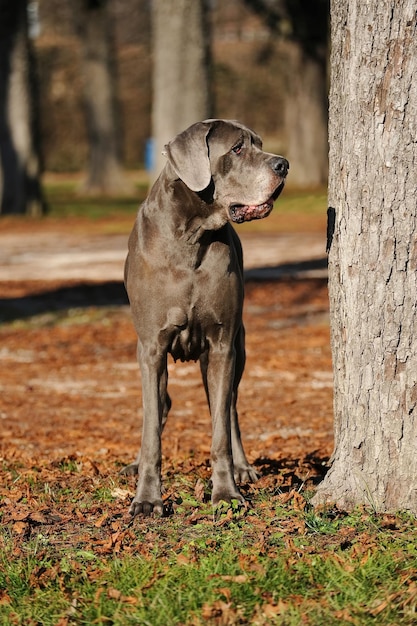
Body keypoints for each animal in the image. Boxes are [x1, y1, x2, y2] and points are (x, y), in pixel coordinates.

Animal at [122, 119, 288, 516]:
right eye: (238, 148)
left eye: (259, 143)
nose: (284, 165)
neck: (191, 236)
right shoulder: (150, 347)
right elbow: (151, 430)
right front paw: (147, 499)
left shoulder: (222, 343)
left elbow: (220, 431)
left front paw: (226, 493)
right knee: (160, 407)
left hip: (236, 350)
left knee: (229, 409)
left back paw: (243, 468)